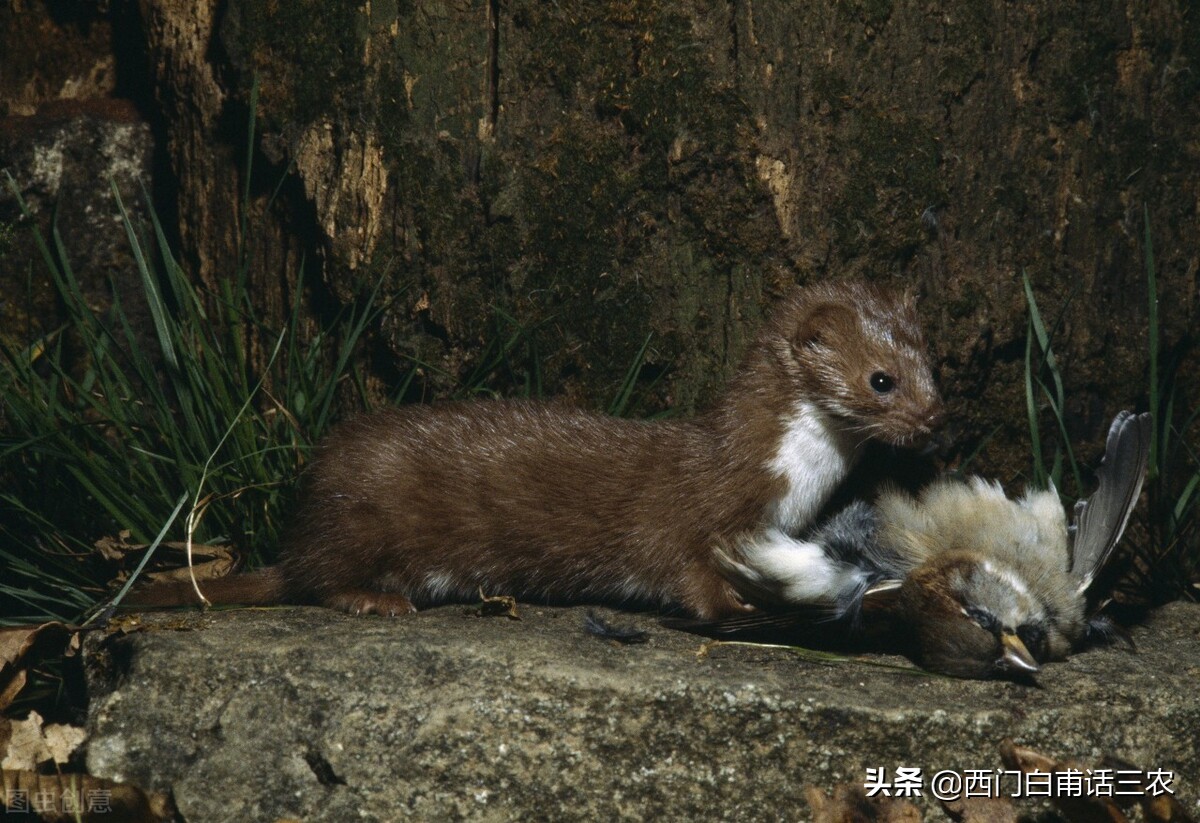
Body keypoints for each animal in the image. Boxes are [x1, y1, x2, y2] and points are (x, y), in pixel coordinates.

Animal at [126, 281, 940, 619]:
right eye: (882, 378)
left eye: (935, 365)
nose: (936, 421)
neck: (795, 480)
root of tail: (300, 531)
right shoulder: (692, 512)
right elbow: (682, 570)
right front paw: (731, 603)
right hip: (363, 513)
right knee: (317, 577)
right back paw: (374, 599)